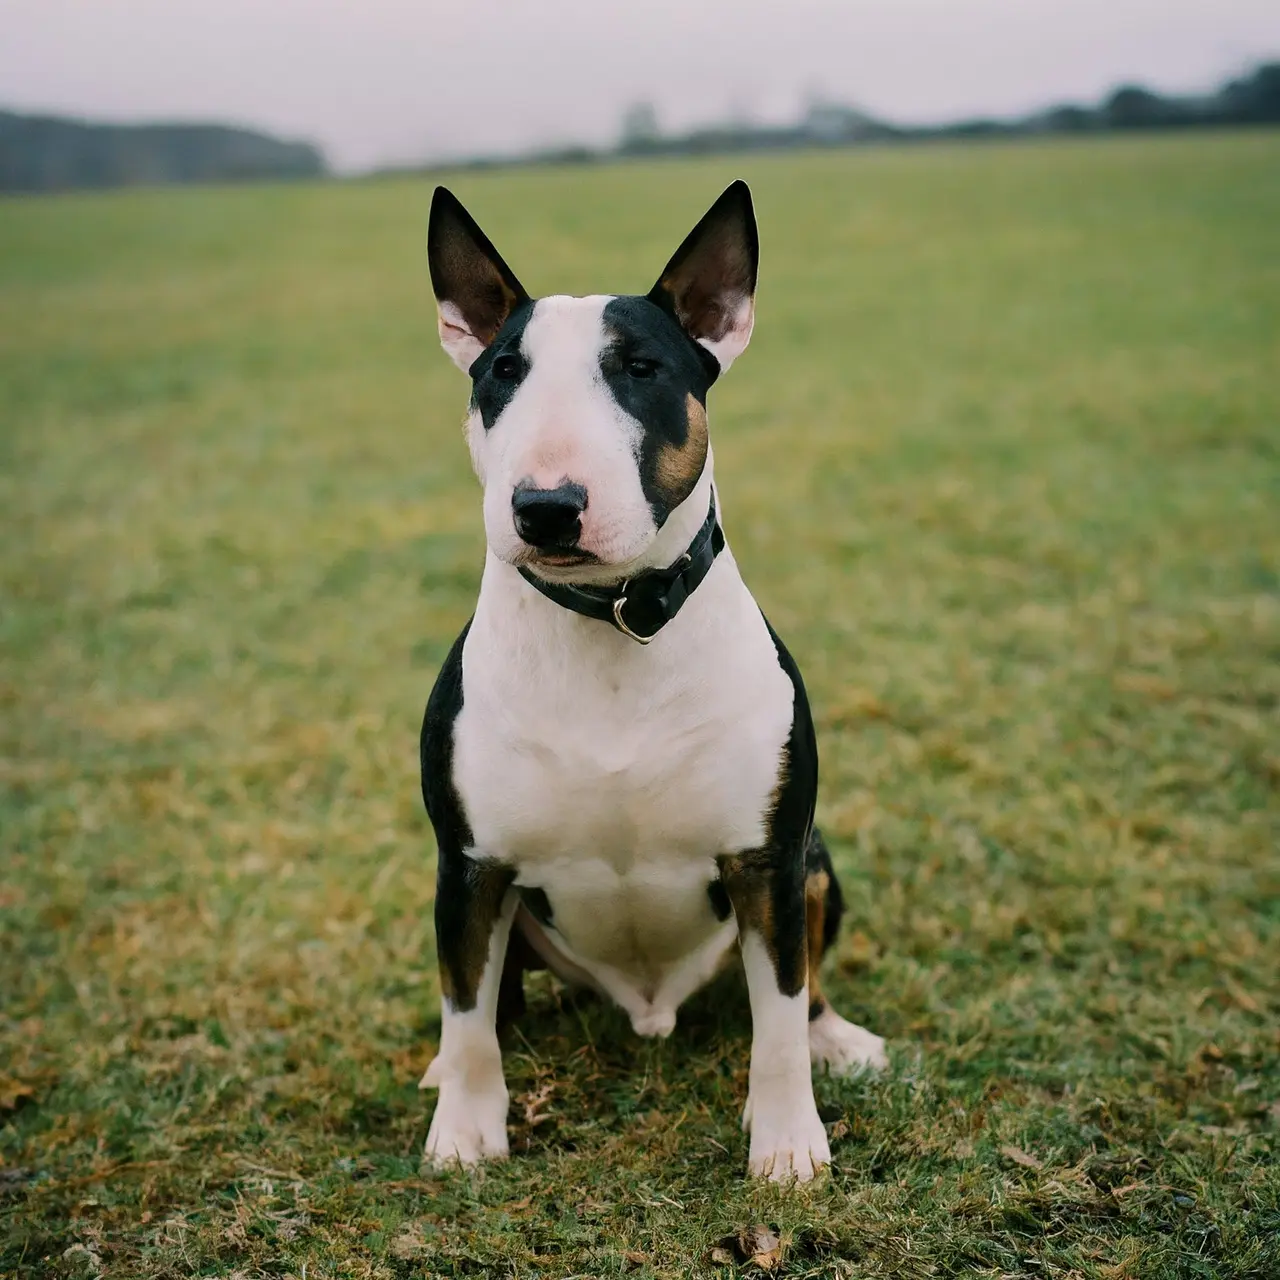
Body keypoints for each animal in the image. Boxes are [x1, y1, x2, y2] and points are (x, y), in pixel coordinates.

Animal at [414, 180, 885, 1177]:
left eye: (640, 369)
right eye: (502, 373)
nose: (546, 507)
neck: (614, 621)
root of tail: (649, 1007)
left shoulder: (767, 864)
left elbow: (779, 1020)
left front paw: (788, 1147)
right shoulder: (469, 868)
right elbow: (468, 1011)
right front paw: (466, 1133)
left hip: (816, 862)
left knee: (807, 986)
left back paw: (838, 1039)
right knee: (490, 1002)